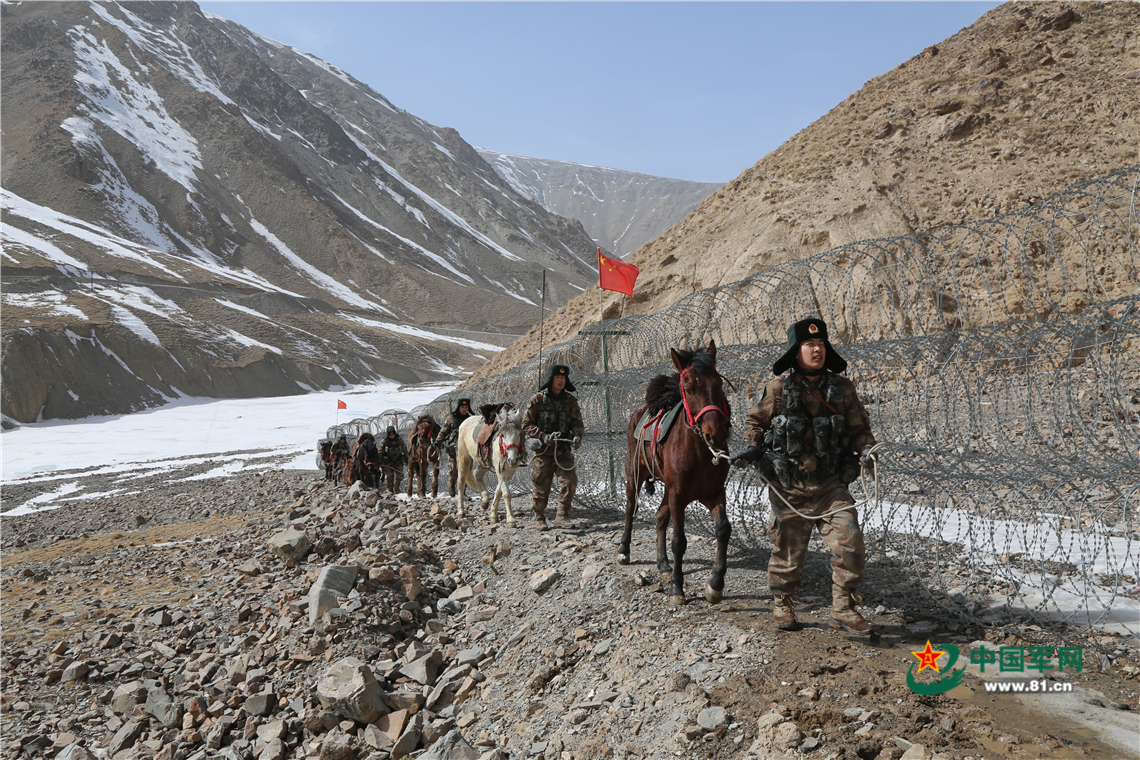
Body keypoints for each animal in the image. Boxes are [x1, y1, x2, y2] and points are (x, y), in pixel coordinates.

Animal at [620, 341, 734, 610]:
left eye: (719, 385)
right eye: (689, 390)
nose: (716, 436)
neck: (700, 453)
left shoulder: (714, 493)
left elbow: (723, 529)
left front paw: (715, 585)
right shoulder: (678, 497)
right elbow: (679, 541)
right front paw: (677, 589)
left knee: (660, 517)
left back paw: (663, 565)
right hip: (635, 475)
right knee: (631, 507)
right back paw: (624, 549)